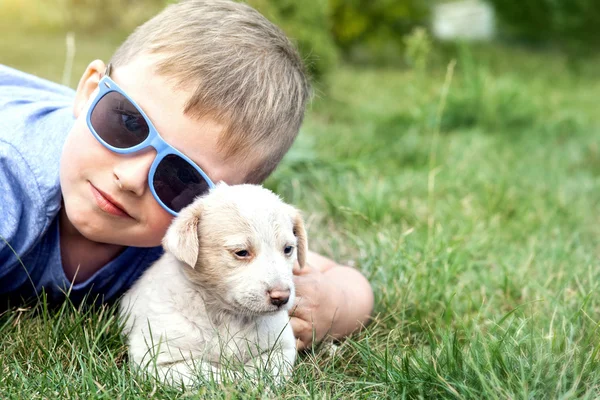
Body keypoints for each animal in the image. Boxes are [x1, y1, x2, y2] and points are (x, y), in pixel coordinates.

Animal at [118, 183, 304, 386]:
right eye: (241, 252)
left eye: (288, 249)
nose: (282, 297)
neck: (227, 316)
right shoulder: (158, 359)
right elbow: (207, 374)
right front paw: (235, 381)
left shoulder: (281, 347)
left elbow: (265, 370)